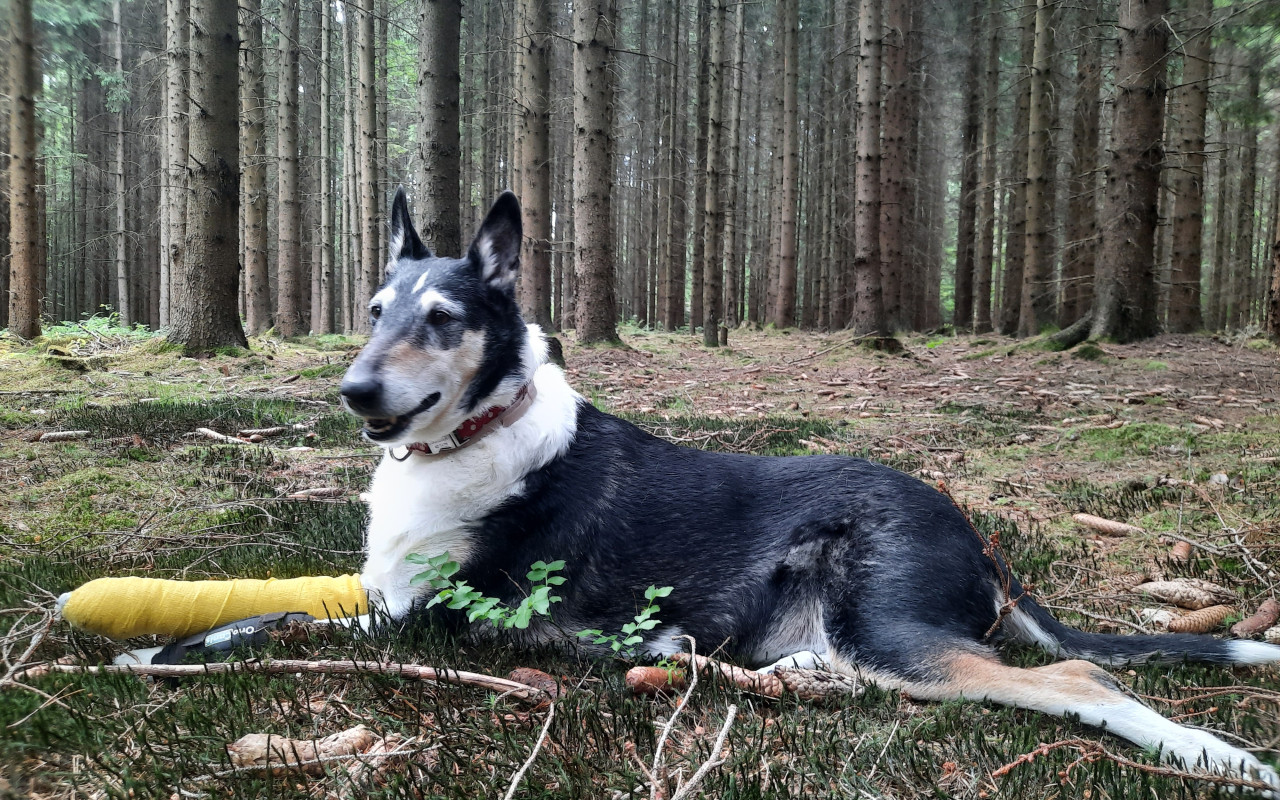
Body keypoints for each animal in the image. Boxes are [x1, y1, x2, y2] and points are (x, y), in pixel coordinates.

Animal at [340, 188, 1280, 793]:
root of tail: (973, 532)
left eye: (443, 320)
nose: (353, 391)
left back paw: (1222, 759)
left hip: (887, 632)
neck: (478, 433)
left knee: (1078, 675)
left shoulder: (414, 616)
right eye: (376, 310)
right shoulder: (379, 592)